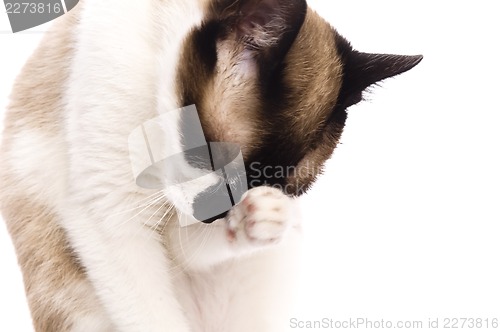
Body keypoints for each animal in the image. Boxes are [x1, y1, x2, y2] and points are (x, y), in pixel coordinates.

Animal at [0, 0, 422, 332]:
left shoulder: (175, 227)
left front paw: (260, 218)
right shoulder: (111, 215)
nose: (214, 215)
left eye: (276, 184)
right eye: (214, 158)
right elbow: (155, 318)